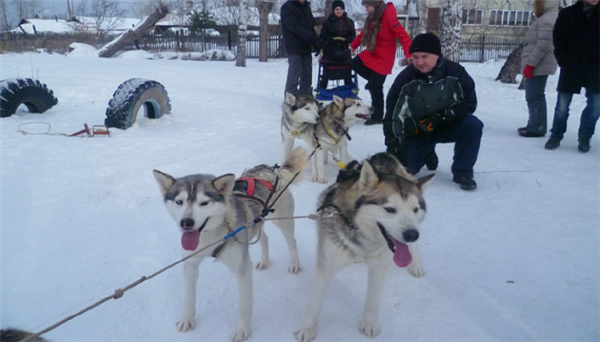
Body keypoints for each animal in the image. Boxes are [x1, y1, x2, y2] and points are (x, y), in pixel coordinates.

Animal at [155, 147, 308, 342]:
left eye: (204, 203)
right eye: (179, 202)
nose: (186, 223)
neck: (210, 237)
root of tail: (271, 169)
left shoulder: (241, 269)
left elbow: (243, 306)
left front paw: (242, 330)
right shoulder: (190, 265)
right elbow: (188, 297)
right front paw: (186, 319)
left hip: (282, 221)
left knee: (291, 241)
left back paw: (294, 263)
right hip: (254, 225)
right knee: (264, 238)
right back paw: (264, 261)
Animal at [294, 153, 432, 342]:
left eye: (415, 209)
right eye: (389, 209)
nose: (412, 234)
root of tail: (384, 154)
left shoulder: (380, 266)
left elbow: (373, 299)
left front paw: (369, 323)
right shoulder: (326, 265)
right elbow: (314, 302)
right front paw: (307, 328)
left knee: (413, 248)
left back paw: (416, 266)